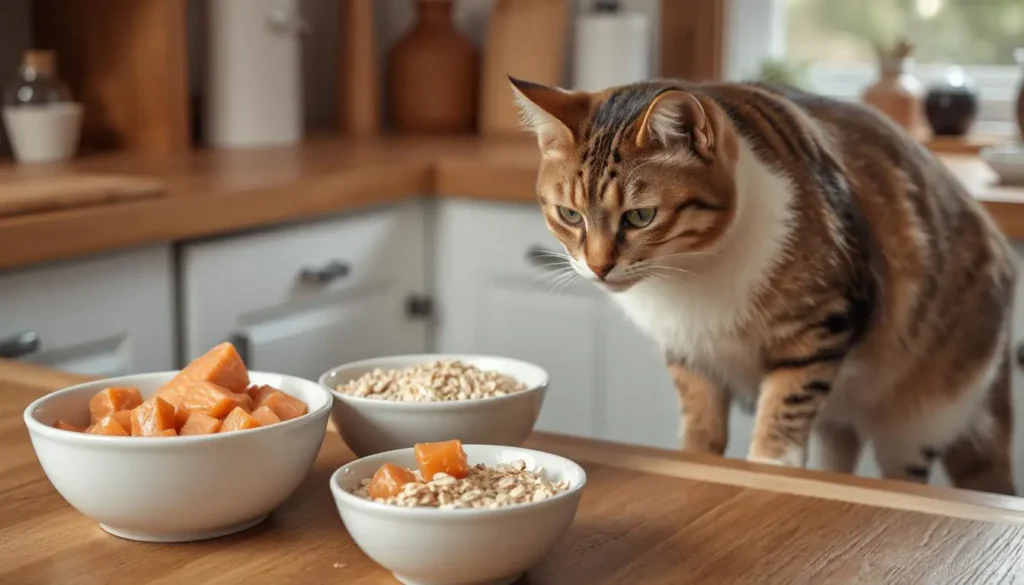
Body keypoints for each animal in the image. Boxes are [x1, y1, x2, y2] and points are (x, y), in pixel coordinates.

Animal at [512, 74, 1015, 493]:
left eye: (640, 217)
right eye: (569, 215)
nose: (598, 267)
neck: (692, 274)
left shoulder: (821, 324)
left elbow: (786, 405)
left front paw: (770, 467)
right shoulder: (690, 350)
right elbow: (700, 420)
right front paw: (696, 458)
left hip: (921, 413)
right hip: (847, 412)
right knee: (840, 440)